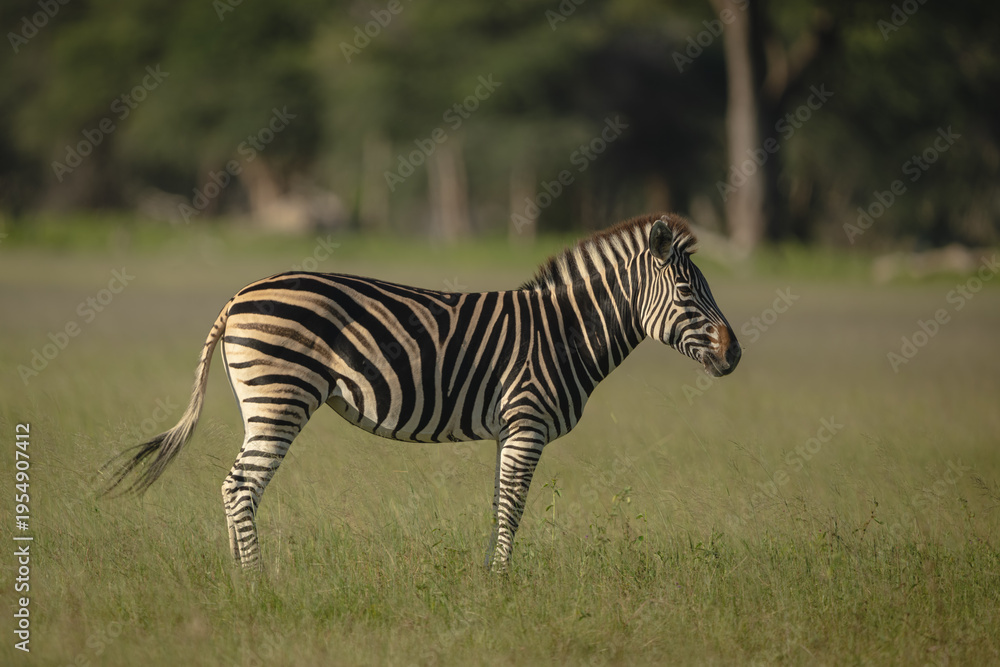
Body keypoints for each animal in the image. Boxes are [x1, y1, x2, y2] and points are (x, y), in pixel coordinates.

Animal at [102, 213, 741, 572]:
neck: (564, 331)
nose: (735, 353)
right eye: (688, 292)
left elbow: (499, 501)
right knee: (240, 488)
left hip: (257, 401)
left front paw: (491, 576)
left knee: (234, 487)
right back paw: (257, 582)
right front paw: (502, 581)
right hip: (280, 397)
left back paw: (237, 578)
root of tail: (239, 295)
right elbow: (513, 504)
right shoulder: (527, 421)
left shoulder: (512, 430)